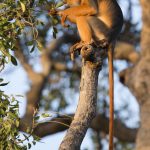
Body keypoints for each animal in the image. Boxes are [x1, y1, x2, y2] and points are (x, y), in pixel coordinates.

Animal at [54, 0, 123, 149]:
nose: (66, 3)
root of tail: (112, 39)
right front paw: (60, 12)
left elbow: (91, 9)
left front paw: (63, 13)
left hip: (101, 31)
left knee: (85, 17)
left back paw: (86, 42)